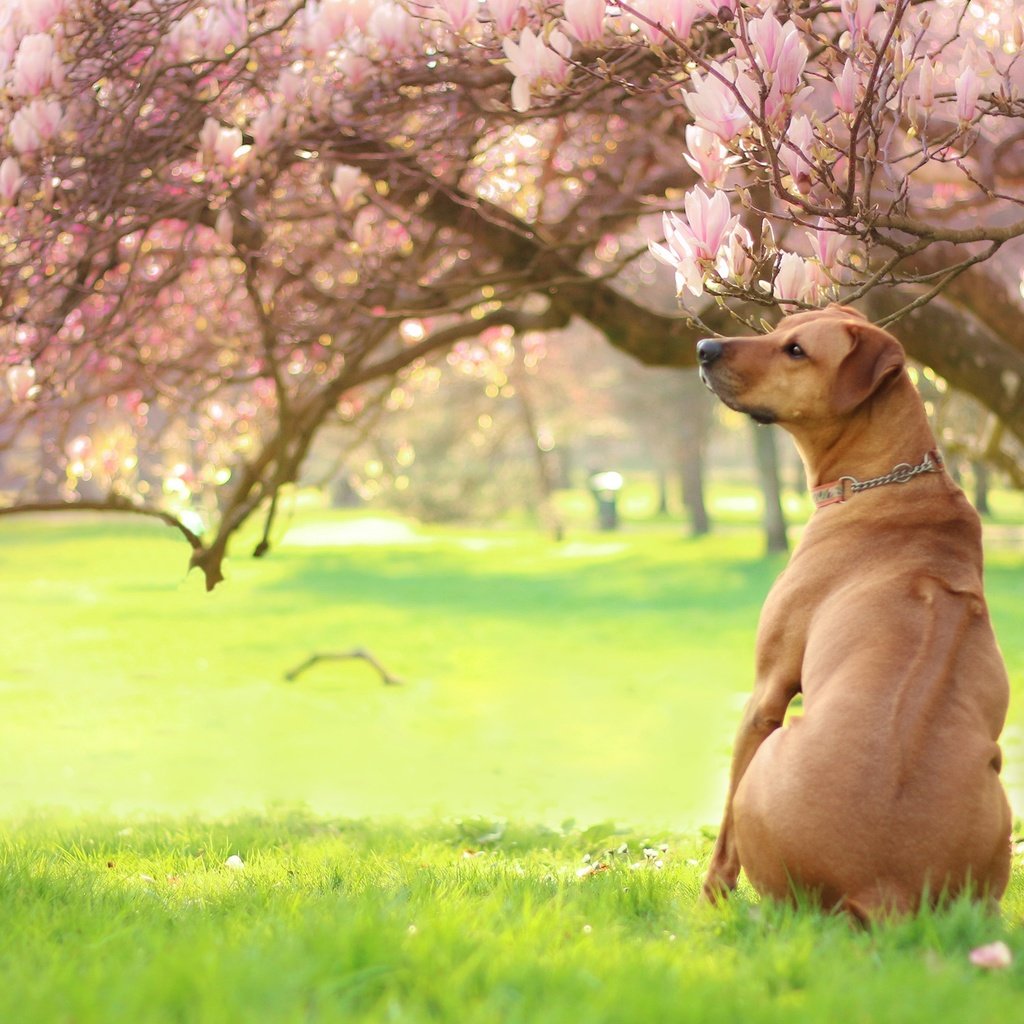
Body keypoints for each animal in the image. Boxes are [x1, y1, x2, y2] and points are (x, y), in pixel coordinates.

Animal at [700, 303, 1011, 921]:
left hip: (773, 749)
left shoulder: (766, 692)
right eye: (776, 330)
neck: (885, 482)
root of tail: (881, 888)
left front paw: (708, 901)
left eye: (796, 350)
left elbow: (722, 837)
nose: (703, 348)